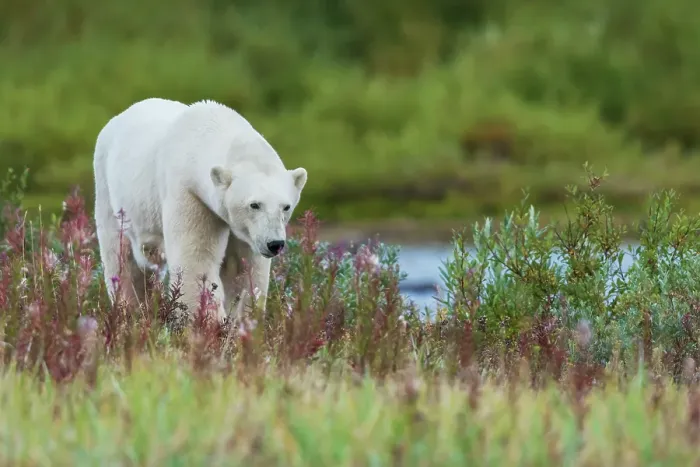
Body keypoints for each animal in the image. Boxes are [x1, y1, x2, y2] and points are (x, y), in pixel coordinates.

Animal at [92, 97, 308, 326]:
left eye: (286, 206)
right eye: (254, 204)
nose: (275, 244)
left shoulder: (244, 230)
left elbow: (242, 268)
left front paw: (243, 321)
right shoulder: (189, 193)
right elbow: (197, 258)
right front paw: (208, 322)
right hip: (109, 189)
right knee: (121, 258)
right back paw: (130, 311)